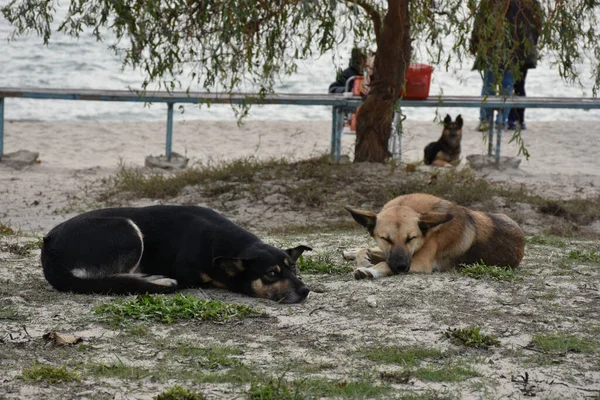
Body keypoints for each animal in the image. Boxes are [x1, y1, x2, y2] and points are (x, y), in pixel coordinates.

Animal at [41, 206, 312, 304]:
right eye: (270, 274)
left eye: (293, 268)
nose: (305, 291)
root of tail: (49, 248)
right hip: (127, 229)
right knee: (112, 279)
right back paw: (158, 280)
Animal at [344, 193, 524, 278]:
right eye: (386, 239)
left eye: (411, 238)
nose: (401, 267)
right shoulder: (394, 253)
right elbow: (368, 251)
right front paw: (362, 258)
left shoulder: (420, 262)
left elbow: (384, 264)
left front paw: (370, 270)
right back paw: (351, 251)